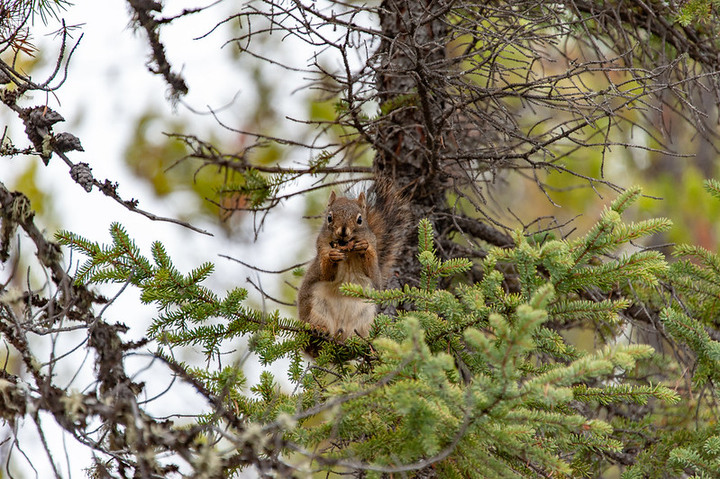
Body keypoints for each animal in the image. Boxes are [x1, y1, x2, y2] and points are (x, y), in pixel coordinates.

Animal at [296, 181, 408, 342]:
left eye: (360, 219)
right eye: (329, 217)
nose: (343, 231)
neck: (348, 251)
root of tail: (340, 332)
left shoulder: (373, 252)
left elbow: (371, 269)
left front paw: (363, 248)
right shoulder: (322, 248)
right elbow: (326, 273)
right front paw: (332, 256)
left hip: (366, 315)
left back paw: (361, 341)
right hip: (316, 308)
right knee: (317, 323)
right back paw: (319, 328)